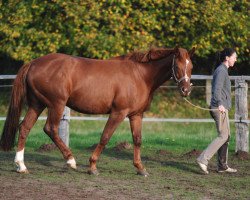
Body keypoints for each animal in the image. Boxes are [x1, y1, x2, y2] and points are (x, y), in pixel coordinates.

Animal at [0, 46, 195, 175]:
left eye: (190, 67)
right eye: (177, 66)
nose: (186, 90)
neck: (140, 75)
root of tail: (33, 63)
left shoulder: (136, 115)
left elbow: (137, 140)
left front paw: (140, 168)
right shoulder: (118, 113)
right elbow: (105, 137)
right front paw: (92, 166)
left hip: (37, 104)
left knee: (25, 128)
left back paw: (21, 166)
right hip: (56, 104)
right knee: (50, 129)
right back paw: (71, 161)